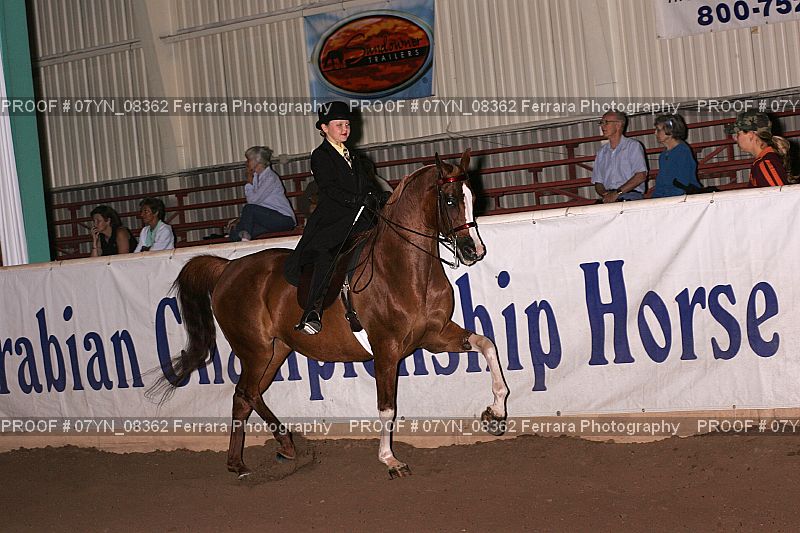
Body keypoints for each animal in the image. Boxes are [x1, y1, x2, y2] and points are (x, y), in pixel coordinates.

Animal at [155, 149, 509, 478]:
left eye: (472, 198)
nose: (474, 251)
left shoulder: (434, 334)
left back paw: (248, 459)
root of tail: (228, 267)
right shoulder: (386, 348)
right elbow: (387, 407)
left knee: (246, 397)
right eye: (449, 200)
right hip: (255, 350)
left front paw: (495, 413)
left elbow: (487, 344)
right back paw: (274, 448)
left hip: (275, 351)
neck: (404, 268)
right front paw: (390, 460)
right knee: (246, 392)